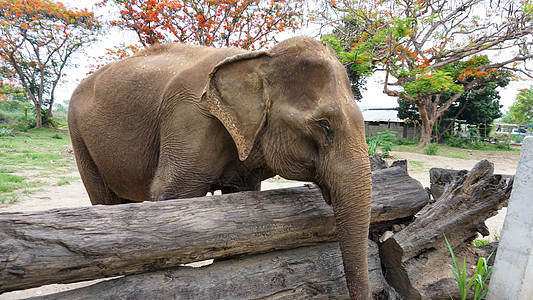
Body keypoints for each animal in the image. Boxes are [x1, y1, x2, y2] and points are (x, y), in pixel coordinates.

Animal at [68, 37, 372, 300]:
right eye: (324, 124)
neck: (258, 59)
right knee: (105, 202)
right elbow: (171, 197)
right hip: (78, 136)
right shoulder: (189, 118)